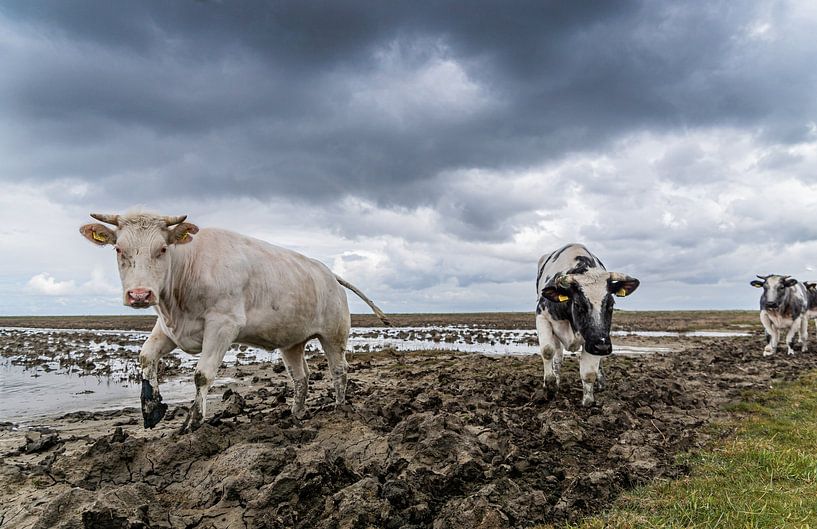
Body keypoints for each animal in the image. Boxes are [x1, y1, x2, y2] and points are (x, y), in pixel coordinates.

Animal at [80, 212, 390, 431]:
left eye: (163, 249)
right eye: (118, 249)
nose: (140, 294)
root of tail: (328, 273)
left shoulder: (223, 326)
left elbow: (202, 374)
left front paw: (193, 422)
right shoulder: (168, 329)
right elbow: (146, 357)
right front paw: (152, 409)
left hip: (334, 334)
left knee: (339, 370)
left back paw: (339, 408)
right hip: (292, 342)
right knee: (300, 377)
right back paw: (295, 414)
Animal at [535, 244, 640, 406]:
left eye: (611, 304)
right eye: (578, 304)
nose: (602, 347)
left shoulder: (594, 339)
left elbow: (589, 373)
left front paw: (588, 401)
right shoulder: (542, 316)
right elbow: (547, 351)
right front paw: (550, 386)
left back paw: (601, 383)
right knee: (557, 355)